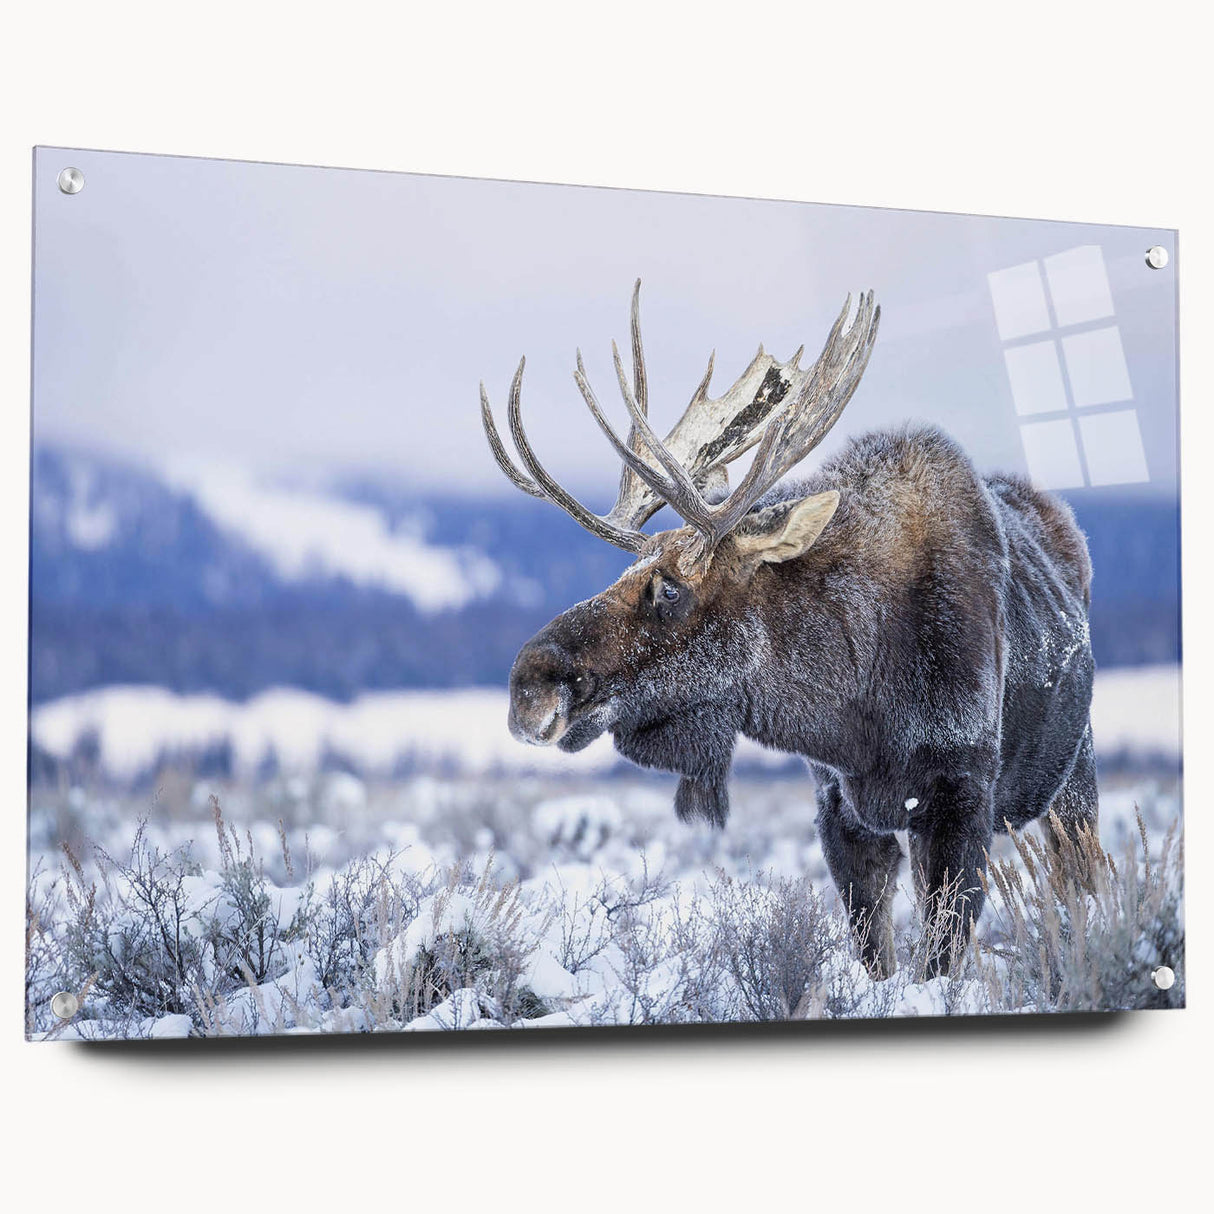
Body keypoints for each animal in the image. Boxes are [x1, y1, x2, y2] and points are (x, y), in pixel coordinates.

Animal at [479, 282, 1098, 979]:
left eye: (670, 588)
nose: (528, 687)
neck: (854, 707)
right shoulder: (838, 808)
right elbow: (876, 955)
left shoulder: (959, 797)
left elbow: (940, 959)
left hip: (1075, 778)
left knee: (1084, 880)